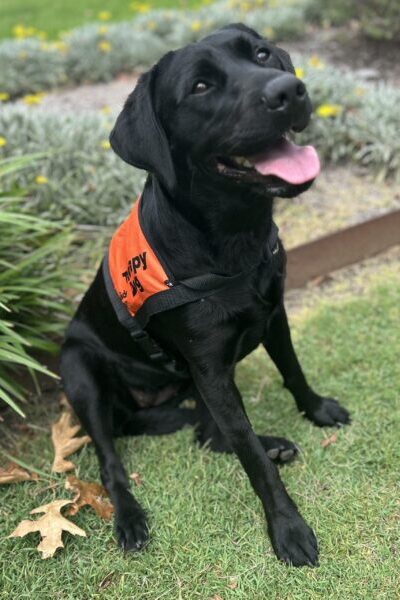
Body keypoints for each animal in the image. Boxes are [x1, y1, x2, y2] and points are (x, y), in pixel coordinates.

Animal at [59, 23, 350, 568]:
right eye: (199, 87)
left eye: (262, 54)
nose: (290, 91)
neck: (233, 243)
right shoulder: (211, 371)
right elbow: (251, 459)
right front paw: (288, 528)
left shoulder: (274, 314)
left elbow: (293, 373)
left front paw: (317, 409)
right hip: (78, 370)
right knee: (112, 460)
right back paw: (129, 518)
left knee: (207, 435)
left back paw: (271, 441)